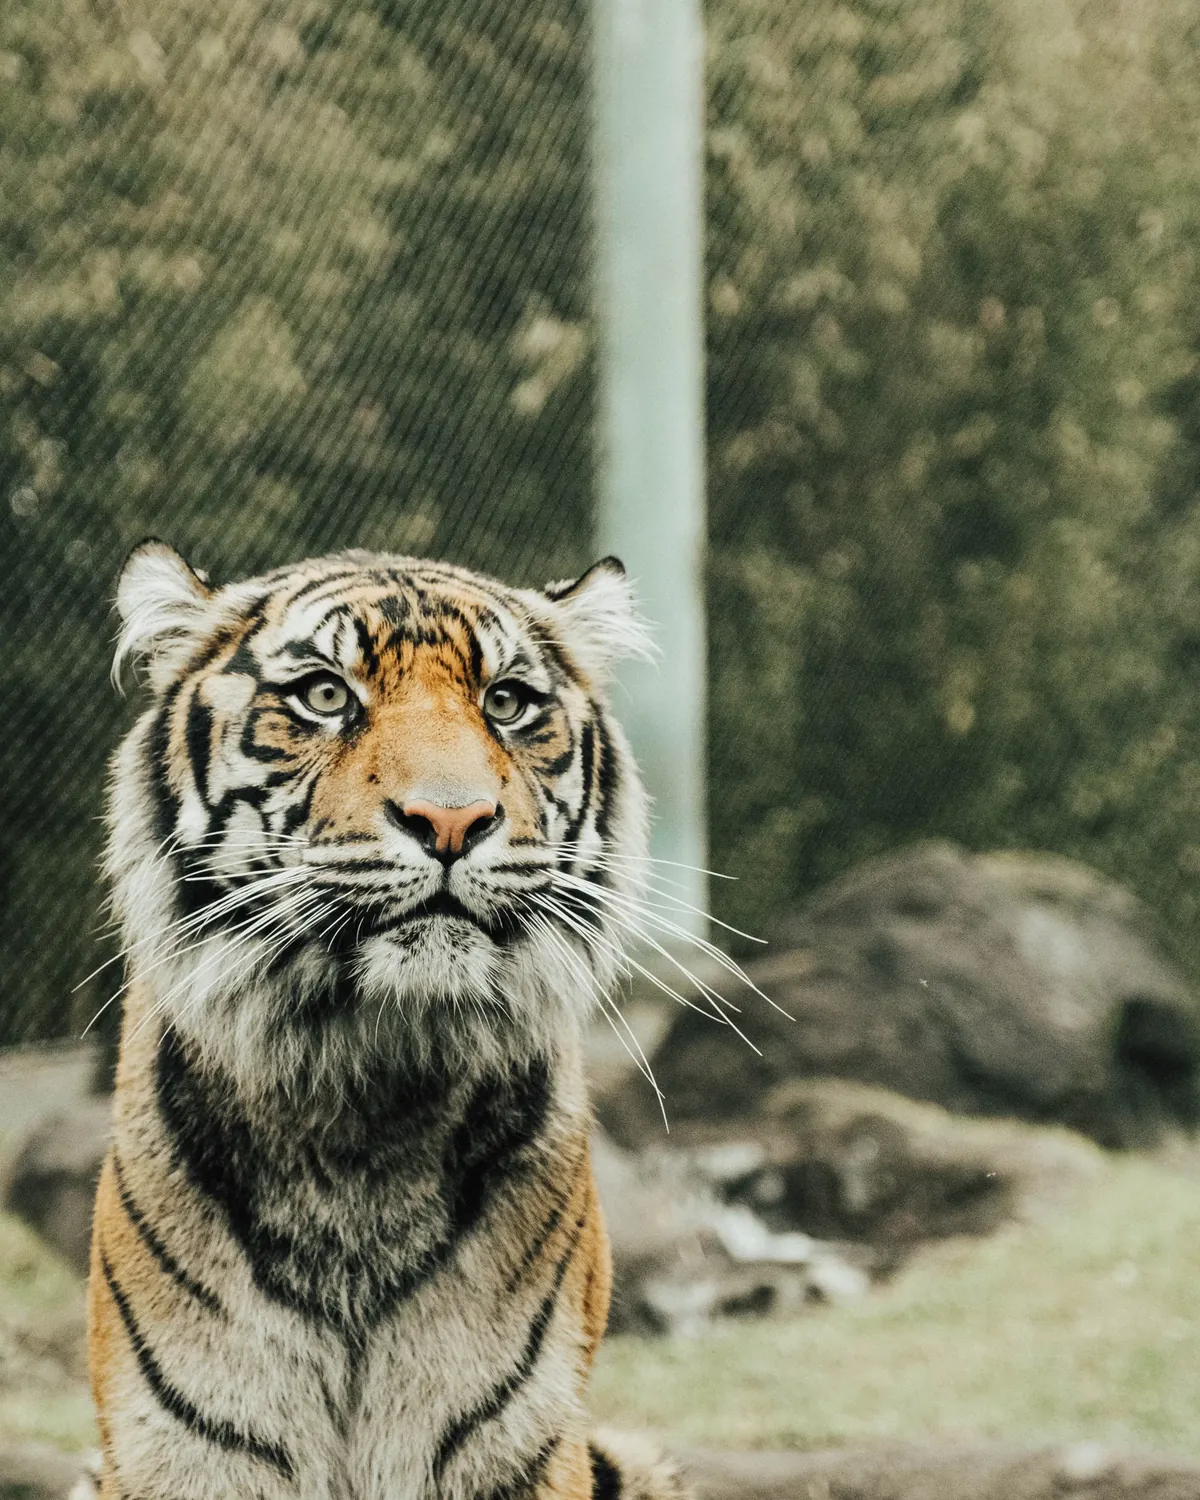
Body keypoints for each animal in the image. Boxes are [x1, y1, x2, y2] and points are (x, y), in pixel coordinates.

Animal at [87, 540, 688, 1500]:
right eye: (325, 695)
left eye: (507, 703)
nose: (451, 818)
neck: (368, 1094)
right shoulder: (188, 1450)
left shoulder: (520, 1443)